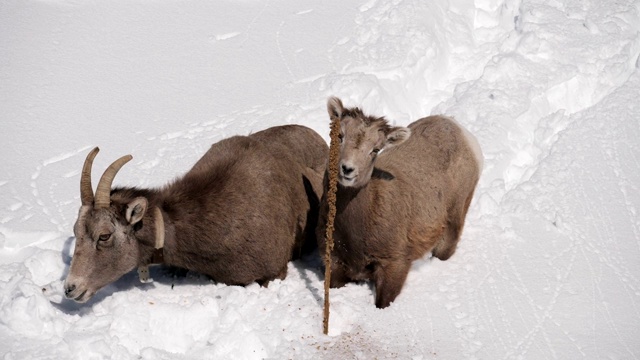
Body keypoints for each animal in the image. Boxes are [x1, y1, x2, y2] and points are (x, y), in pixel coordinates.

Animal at [318, 97, 482, 308]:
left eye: (375, 149)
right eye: (340, 136)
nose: (347, 169)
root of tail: (459, 129)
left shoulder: (395, 264)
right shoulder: (334, 264)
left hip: (453, 223)